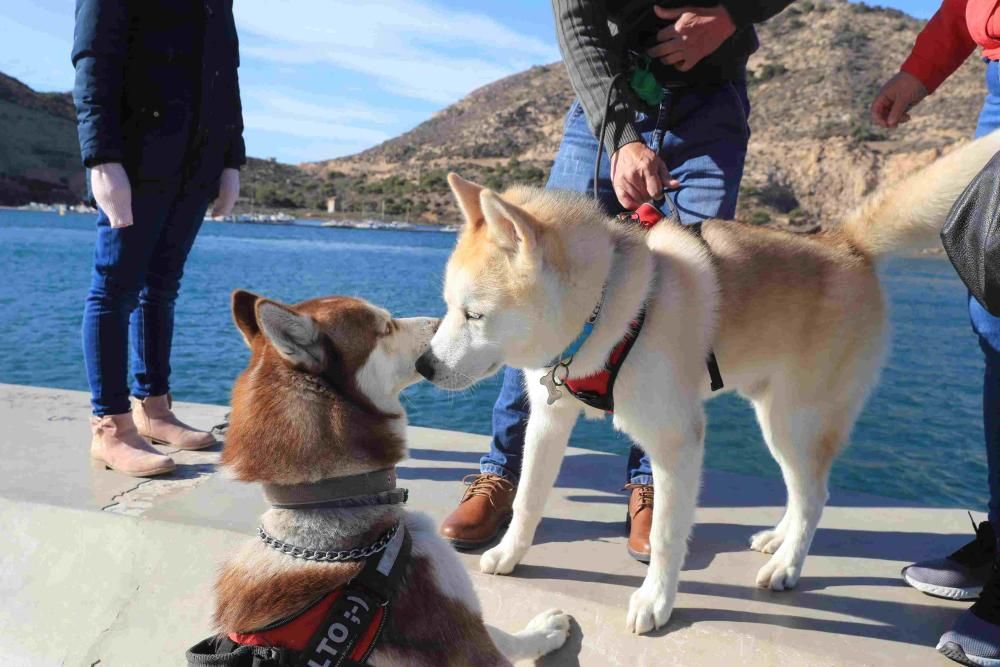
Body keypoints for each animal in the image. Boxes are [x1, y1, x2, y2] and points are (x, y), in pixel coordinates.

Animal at [416, 132, 1000, 636]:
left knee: (815, 495)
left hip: (794, 422)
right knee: (803, 492)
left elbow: (667, 534)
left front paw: (657, 600)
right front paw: (511, 554)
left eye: (474, 315)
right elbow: (528, 499)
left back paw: (788, 566)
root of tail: (845, 243)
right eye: (449, 306)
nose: (423, 365)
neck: (608, 304)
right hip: (776, 418)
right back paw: (779, 539)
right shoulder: (548, 420)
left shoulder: (676, 441)